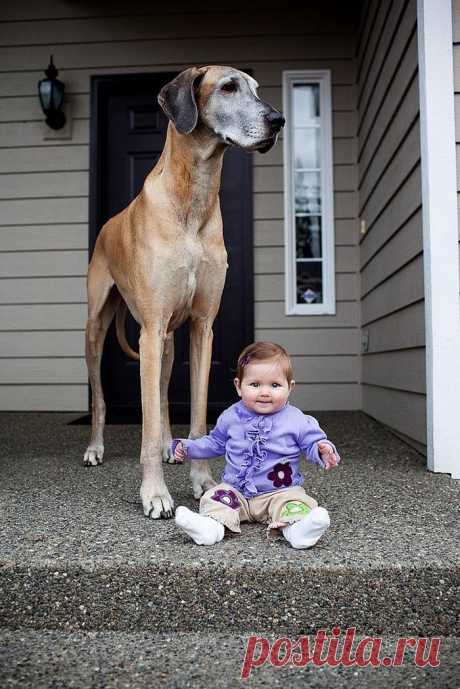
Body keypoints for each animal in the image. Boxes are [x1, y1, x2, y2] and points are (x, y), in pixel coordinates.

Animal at [82, 66, 284, 516]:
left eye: (256, 89)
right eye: (228, 87)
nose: (277, 121)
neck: (194, 194)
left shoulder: (202, 327)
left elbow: (195, 412)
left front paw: (203, 481)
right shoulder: (151, 329)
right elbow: (146, 424)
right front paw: (155, 494)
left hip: (168, 341)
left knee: (160, 392)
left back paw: (167, 446)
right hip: (98, 328)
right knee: (101, 397)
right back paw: (95, 447)